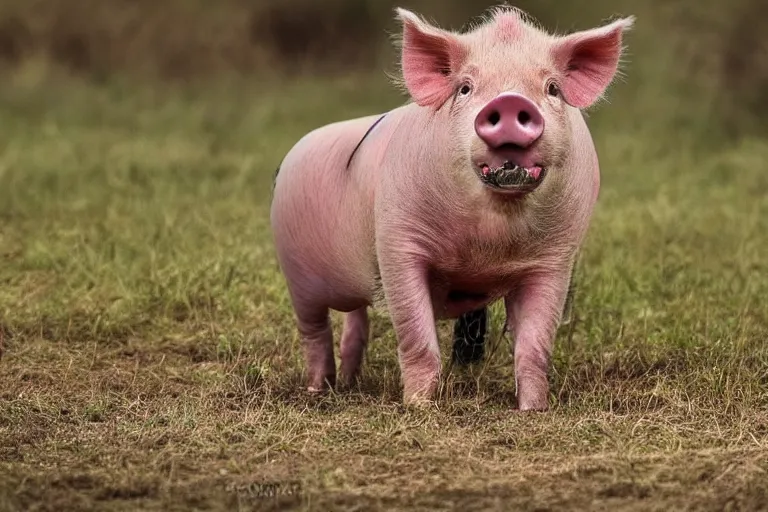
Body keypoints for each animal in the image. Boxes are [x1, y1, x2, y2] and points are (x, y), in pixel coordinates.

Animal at [272, 6, 636, 410]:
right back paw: (318, 389)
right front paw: (418, 407)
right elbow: (418, 340)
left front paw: (533, 410)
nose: (511, 101)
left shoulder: (555, 258)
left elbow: (534, 347)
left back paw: (349, 384)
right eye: (465, 88)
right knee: (315, 333)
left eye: (552, 88)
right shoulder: (398, 244)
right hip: (295, 274)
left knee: (356, 322)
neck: (485, 245)